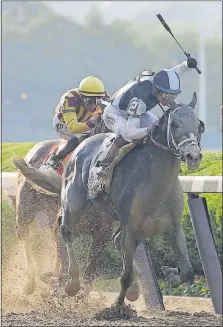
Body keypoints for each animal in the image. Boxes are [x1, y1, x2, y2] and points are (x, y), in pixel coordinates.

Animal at [11, 93, 204, 312]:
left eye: (199, 125)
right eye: (175, 124)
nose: (193, 155)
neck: (156, 186)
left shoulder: (171, 226)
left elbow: (187, 270)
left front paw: (169, 276)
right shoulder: (130, 228)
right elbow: (120, 273)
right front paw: (115, 306)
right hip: (46, 210)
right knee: (49, 233)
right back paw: (50, 283)